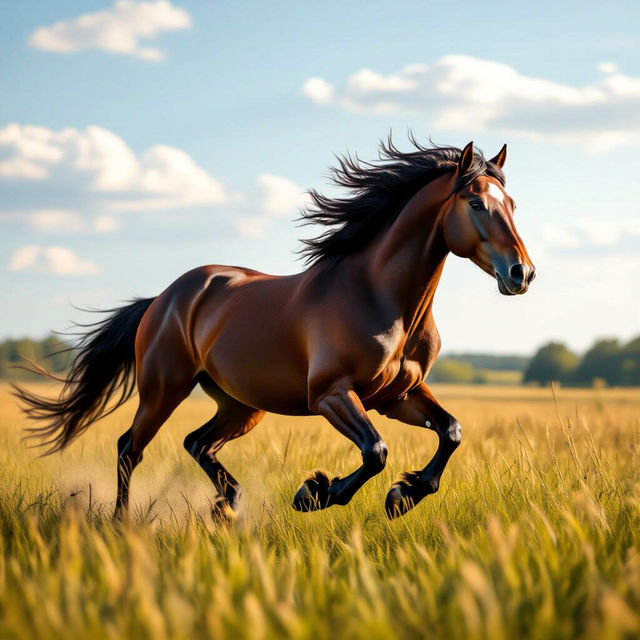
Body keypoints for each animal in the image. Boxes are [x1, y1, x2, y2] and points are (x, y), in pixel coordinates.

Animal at [15, 138, 535, 520]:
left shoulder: (397, 396)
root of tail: (163, 299)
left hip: (241, 405)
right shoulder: (331, 395)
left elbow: (451, 431)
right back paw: (123, 523)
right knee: (130, 448)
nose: (521, 274)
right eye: (475, 203)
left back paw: (227, 508)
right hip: (164, 389)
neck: (380, 297)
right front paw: (316, 493)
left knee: (196, 443)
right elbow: (376, 451)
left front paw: (402, 496)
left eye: (511, 202)